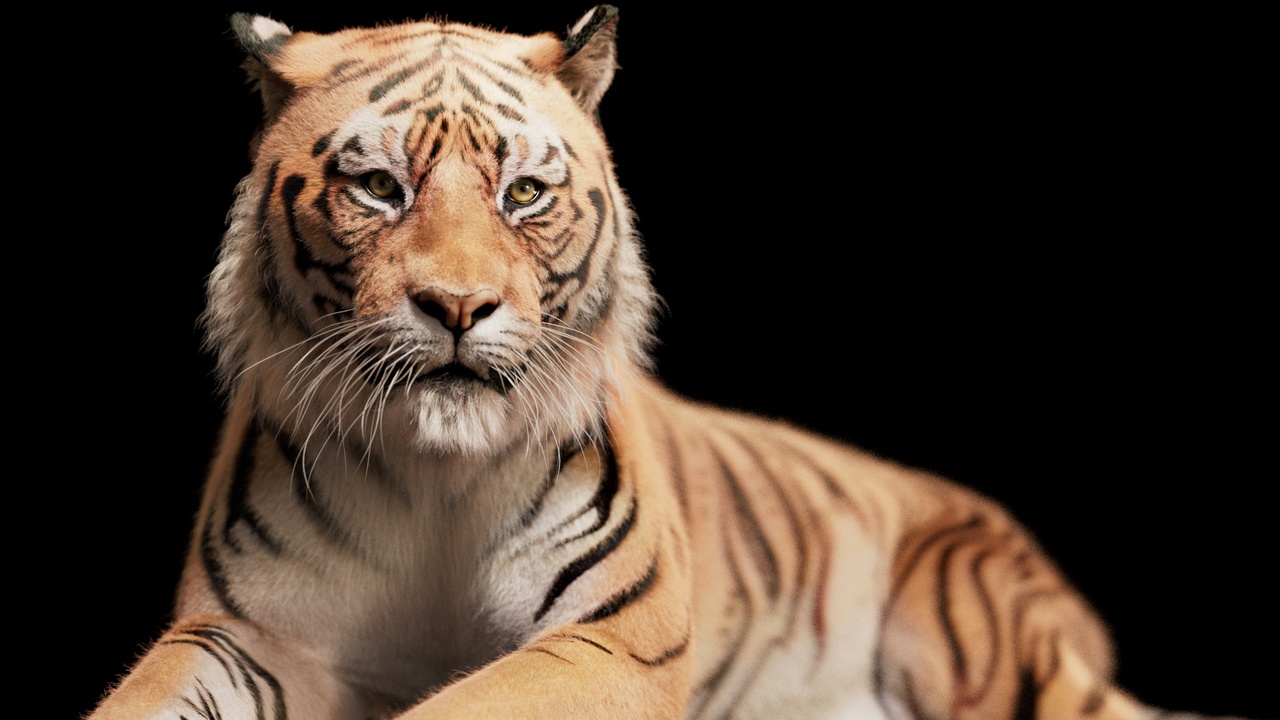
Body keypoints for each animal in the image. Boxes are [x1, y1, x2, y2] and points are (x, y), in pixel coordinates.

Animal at [87, 7, 1254, 720]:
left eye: (522, 193)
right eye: (379, 188)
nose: (458, 307)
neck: (435, 477)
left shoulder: (610, 640)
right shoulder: (250, 631)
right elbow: (149, 695)